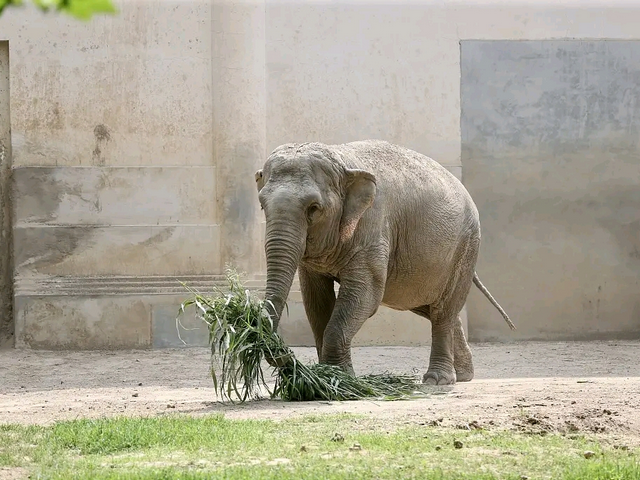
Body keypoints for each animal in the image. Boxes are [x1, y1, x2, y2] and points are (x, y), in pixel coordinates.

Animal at [255, 140, 516, 386]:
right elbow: (317, 302)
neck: (342, 159)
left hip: (466, 246)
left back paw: (438, 380)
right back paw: (463, 375)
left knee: (444, 309)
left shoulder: (373, 225)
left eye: (314, 208)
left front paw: (342, 380)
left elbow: (365, 295)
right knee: (431, 306)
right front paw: (325, 377)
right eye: (262, 205)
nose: (282, 353)